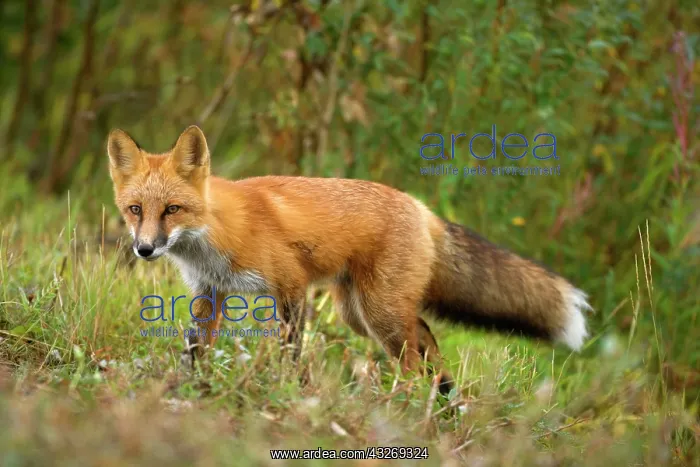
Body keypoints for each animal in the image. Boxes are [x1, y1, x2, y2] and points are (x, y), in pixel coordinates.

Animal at [107, 125, 592, 395]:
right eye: (135, 210)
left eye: (172, 210)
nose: (145, 249)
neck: (218, 231)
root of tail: (422, 209)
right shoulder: (210, 292)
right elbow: (196, 348)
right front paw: (190, 388)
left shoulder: (291, 285)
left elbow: (290, 350)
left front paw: (290, 391)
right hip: (359, 312)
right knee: (427, 337)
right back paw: (444, 402)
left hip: (379, 313)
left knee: (413, 357)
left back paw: (408, 404)